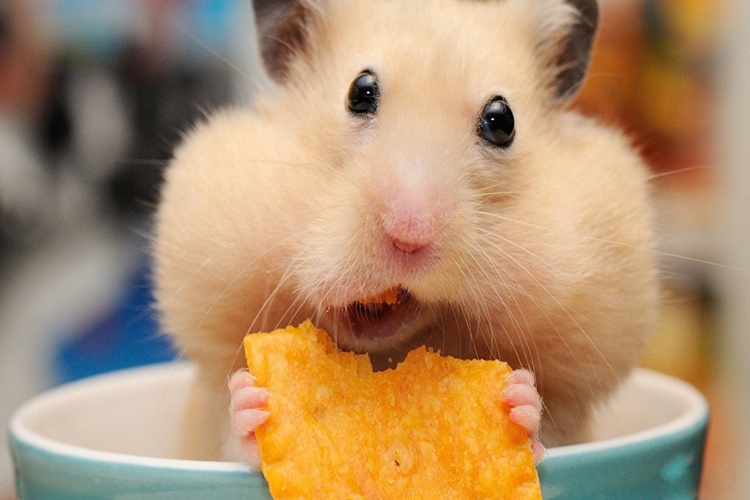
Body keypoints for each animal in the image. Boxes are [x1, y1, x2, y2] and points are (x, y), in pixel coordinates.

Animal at [154, 0, 659, 462]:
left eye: (502, 121)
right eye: (360, 92)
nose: (409, 233)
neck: (383, 355)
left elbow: (548, 430)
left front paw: (518, 403)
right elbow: (233, 440)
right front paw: (254, 402)